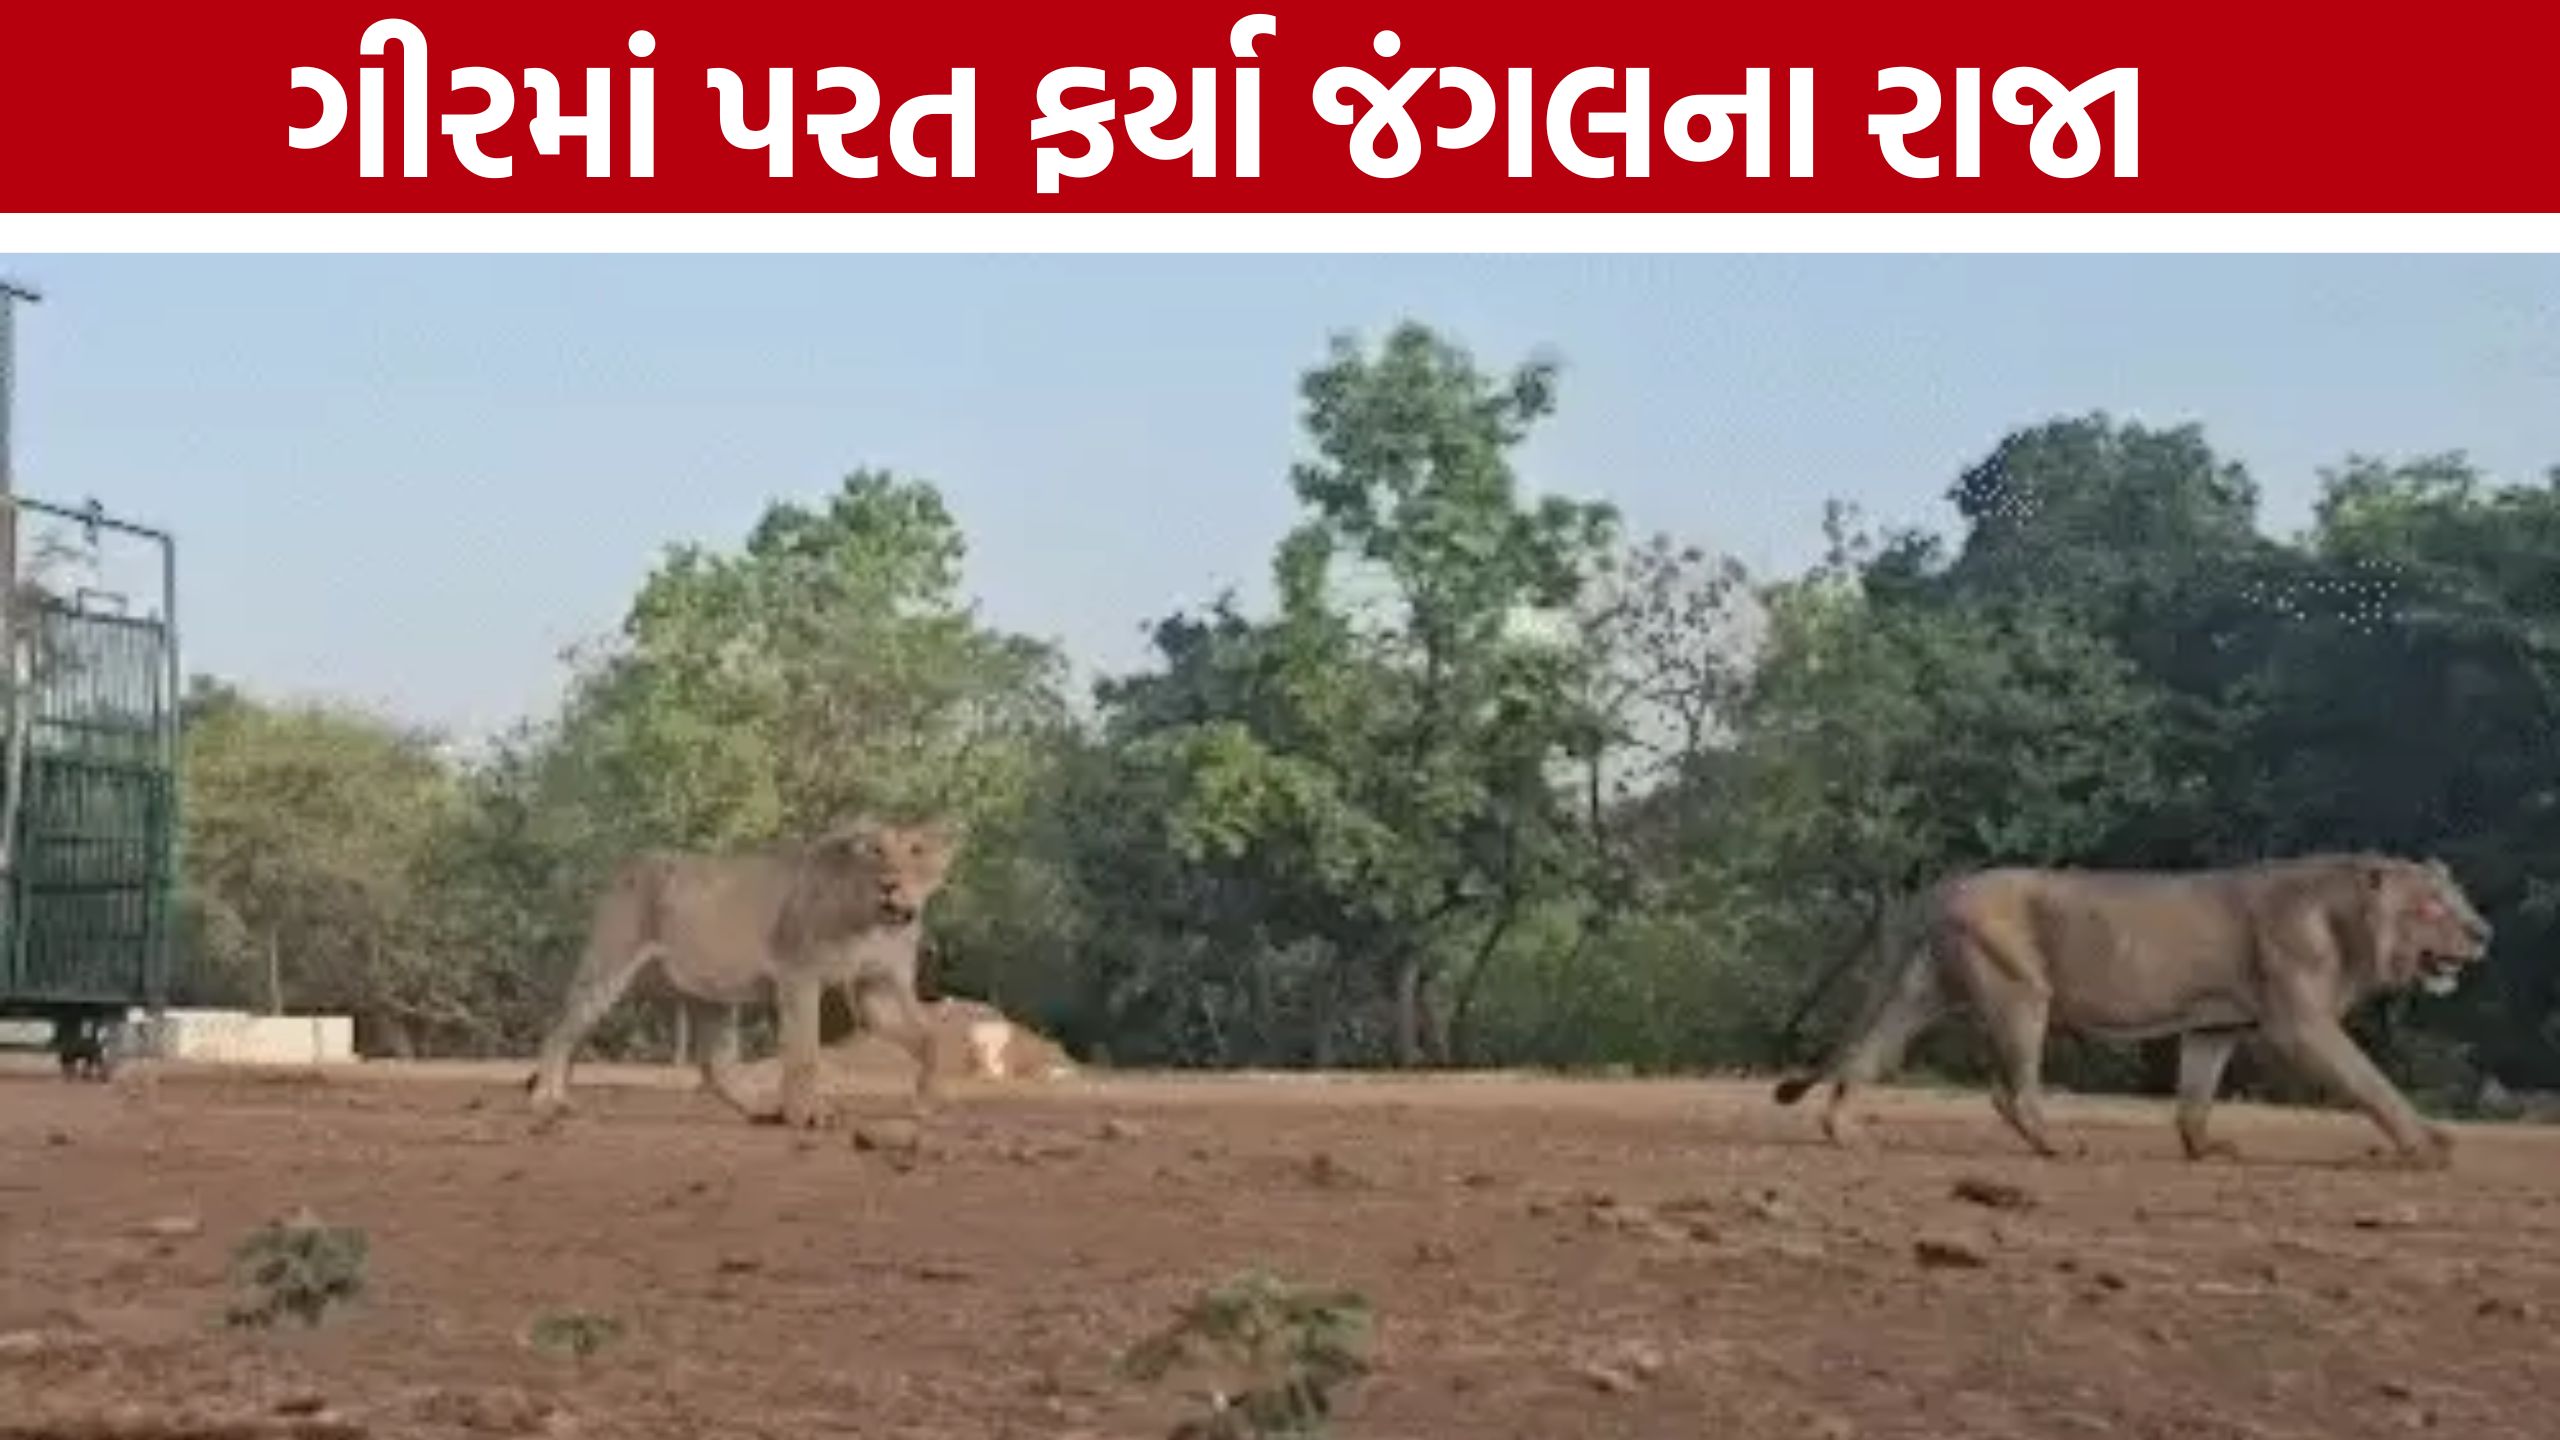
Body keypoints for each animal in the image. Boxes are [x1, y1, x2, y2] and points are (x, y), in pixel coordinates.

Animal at [526, 817, 959, 1129]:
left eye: (917, 850)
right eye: (875, 851)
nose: (889, 885)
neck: (879, 924)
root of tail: (628, 863)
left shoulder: (877, 986)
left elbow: (930, 1039)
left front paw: (926, 1103)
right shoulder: (799, 975)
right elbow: (805, 1053)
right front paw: (808, 1114)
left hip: (712, 994)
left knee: (716, 1067)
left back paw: (764, 1109)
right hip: (609, 967)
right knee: (559, 1033)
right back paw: (548, 1101)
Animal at [1773, 853, 2492, 1167]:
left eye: (2460, 899)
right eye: (2433, 905)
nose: (2484, 932)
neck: (2347, 922)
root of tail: (1947, 885)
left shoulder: (2215, 1024)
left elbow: (2195, 1096)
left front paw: (2206, 1149)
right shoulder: (2302, 1025)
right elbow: (2373, 1083)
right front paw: (2429, 1145)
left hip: (1921, 993)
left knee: (1864, 1057)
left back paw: (1844, 1132)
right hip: (2020, 993)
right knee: (2010, 1092)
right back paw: (2058, 1144)